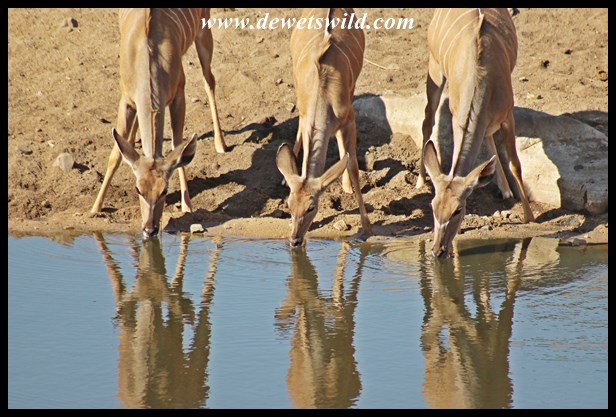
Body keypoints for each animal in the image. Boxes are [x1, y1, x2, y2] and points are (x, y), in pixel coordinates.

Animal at [91, 8, 227, 238]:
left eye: (164, 190)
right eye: (138, 189)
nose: (150, 229)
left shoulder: (179, 93)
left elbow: (177, 145)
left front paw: (187, 205)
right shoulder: (126, 99)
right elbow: (116, 154)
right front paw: (95, 208)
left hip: (203, 31)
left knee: (209, 80)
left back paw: (221, 144)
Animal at [276, 8, 371, 247]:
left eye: (311, 207)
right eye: (288, 205)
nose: (294, 241)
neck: (323, 95)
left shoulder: (349, 119)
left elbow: (353, 165)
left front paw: (367, 227)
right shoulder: (305, 116)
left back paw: (345, 185)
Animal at [416, 8, 535, 257]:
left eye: (457, 210)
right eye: (432, 207)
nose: (438, 250)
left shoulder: (507, 115)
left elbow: (515, 164)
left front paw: (530, 217)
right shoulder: (456, 118)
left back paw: (506, 190)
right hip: (435, 67)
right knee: (427, 121)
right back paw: (421, 181)